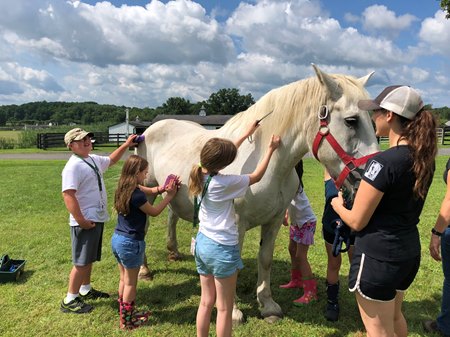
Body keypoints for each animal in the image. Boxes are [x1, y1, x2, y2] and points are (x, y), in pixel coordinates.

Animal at [137, 64, 380, 322]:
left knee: (172, 216)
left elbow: (265, 259)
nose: (369, 181)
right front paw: (233, 310)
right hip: (148, 192)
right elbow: (231, 263)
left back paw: (173, 252)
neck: (266, 160)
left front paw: (268, 306)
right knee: (143, 227)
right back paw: (144, 270)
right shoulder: (235, 223)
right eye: (351, 121)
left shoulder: (273, 220)